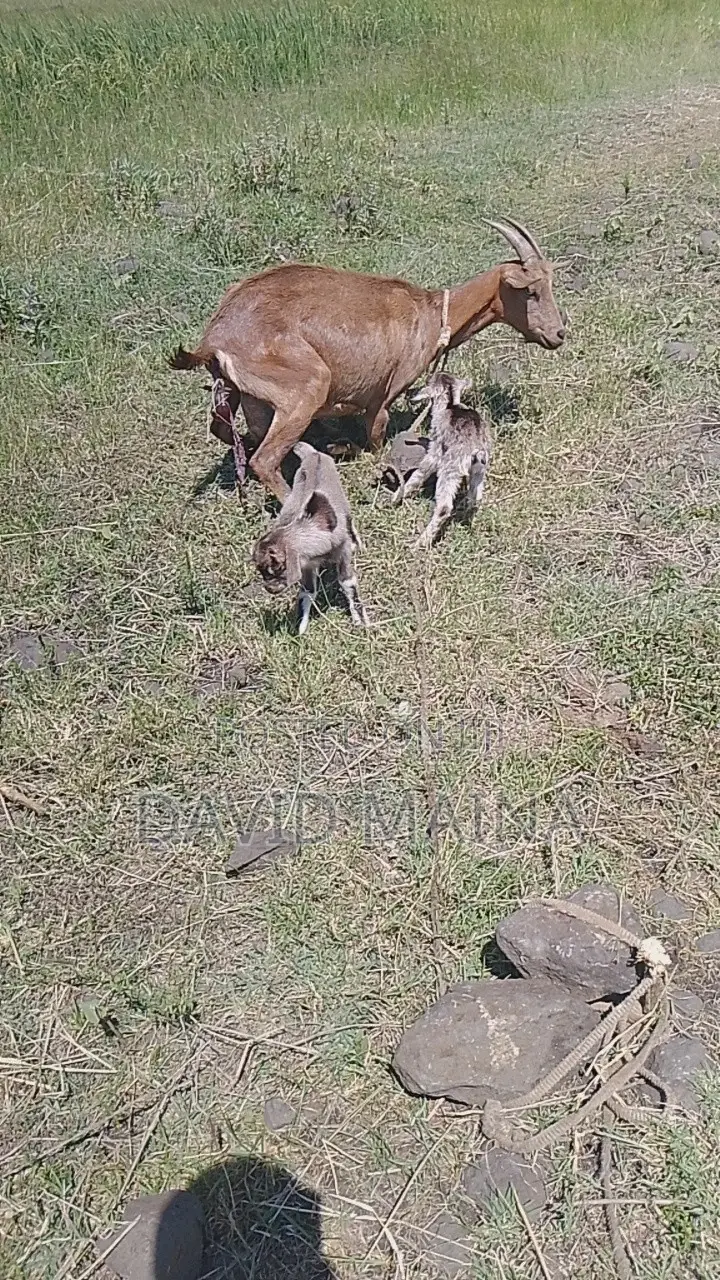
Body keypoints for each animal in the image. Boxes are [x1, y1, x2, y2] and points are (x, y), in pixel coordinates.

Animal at [170, 218, 564, 500]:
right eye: (531, 291)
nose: (559, 334)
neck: (431, 314)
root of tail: (215, 338)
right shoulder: (382, 397)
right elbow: (375, 440)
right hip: (305, 386)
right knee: (264, 459)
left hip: (244, 395)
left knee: (230, 433)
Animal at [251, 442, 368, 635]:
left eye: (276, 568)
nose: (268, 588)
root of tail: (313, 454)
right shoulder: (307, 564)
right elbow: (307, 592)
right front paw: (299, 629)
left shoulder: (342, 553)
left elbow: (347, 582)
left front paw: (361, 621)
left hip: (343, 502)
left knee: (349, 519)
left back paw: (357, 543)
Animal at [393, 373, 491, 549]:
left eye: (427, 382)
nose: (410, 393)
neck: (450, 405)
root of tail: (476, 449)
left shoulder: (436, 449)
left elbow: (421, 471)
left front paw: (396, 496)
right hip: (479, 470)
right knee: (476, 497)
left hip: (451, 468)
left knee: (444, 506)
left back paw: (420, 543)